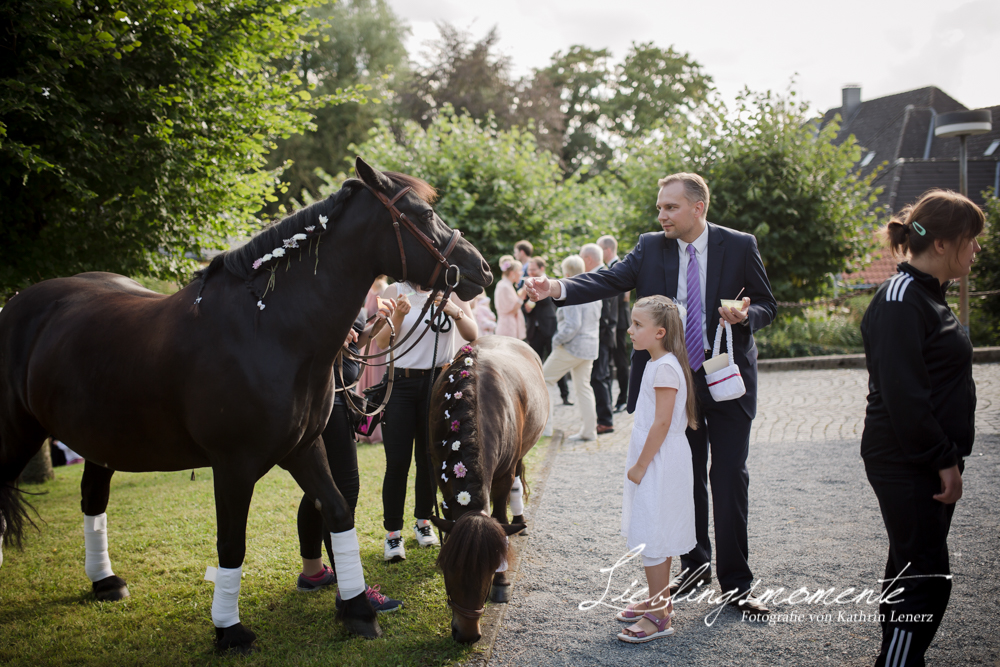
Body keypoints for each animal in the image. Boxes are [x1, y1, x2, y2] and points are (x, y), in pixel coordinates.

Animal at [0, 159, 492, 656]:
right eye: (423, 214)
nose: (483, 269)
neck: (266, 328)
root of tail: (15, 303)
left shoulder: (303, 448)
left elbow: (336, 510)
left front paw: (356, 608)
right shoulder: (233, 465)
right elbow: (231, 544)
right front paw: (228, 630)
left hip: (102, 441)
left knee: (92, 498)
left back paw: (105, 582)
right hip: (17, 435)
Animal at [424, 336, 544, 644]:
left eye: (490, 570)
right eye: (449, 569)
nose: (467, 634)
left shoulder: (503, 473)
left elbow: (500, 519)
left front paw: (502, 582)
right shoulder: (440, 475)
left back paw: (520, 519)